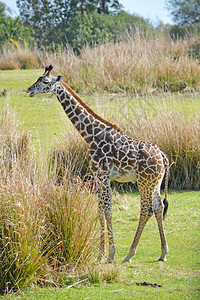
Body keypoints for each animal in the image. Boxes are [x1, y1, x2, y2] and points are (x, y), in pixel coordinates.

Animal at [26, 65, 170, 262]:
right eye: (38, 79)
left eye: (46, 82)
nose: (29, 90)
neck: (90, 136)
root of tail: (163, 155)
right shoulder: (97, 175)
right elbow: (100, 209)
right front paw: (101, 254)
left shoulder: (103, 174)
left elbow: (107, 210)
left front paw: (110, 254)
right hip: (155, 182)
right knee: (158, 207)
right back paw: (163, 252)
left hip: (144, 182)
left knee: (146, 209)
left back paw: (130, 253)